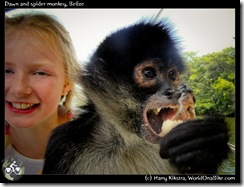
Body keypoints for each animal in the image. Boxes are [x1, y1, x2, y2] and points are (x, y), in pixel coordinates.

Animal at [42, 18, 231, 174]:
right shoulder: (63, 142)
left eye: (172, 75)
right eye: (149, 73)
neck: (126, 143)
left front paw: (207, 144)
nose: (174, 92)